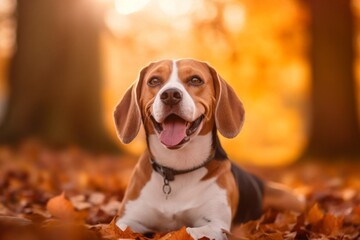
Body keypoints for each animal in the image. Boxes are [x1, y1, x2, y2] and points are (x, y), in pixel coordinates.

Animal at [113, 58, 304, 240]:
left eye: (195, 80)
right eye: (154, 81)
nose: (170, 95)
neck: (177, 168)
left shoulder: (216, 224)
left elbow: (187, 231)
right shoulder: (125, 221)